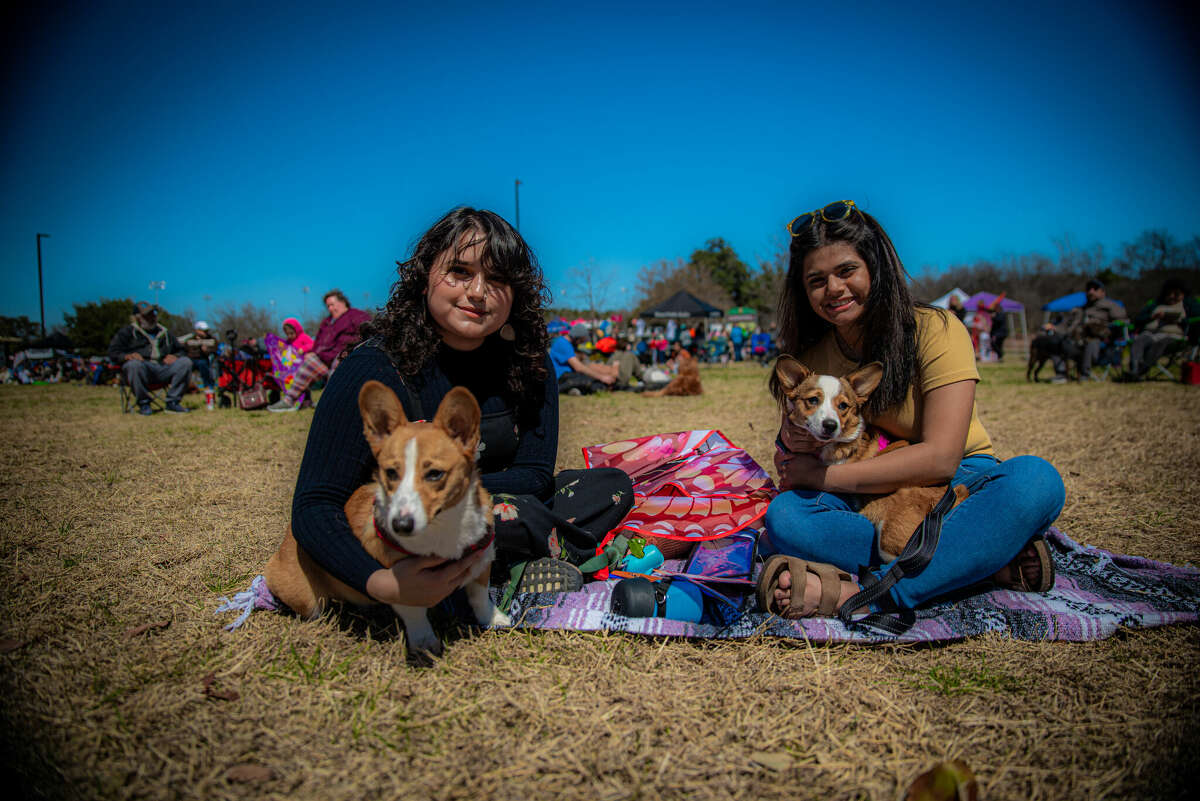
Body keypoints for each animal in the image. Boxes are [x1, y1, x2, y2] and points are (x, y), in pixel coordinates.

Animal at [265, 383, 508, 657]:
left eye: (435, 474)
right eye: (390, 472)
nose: (400, 526)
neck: (443, 525)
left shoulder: (481, 559)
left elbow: (480, 596)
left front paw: (493, 618)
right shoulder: (403, 581)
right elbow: (415, 613)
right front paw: (425, 642)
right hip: (307, 599)